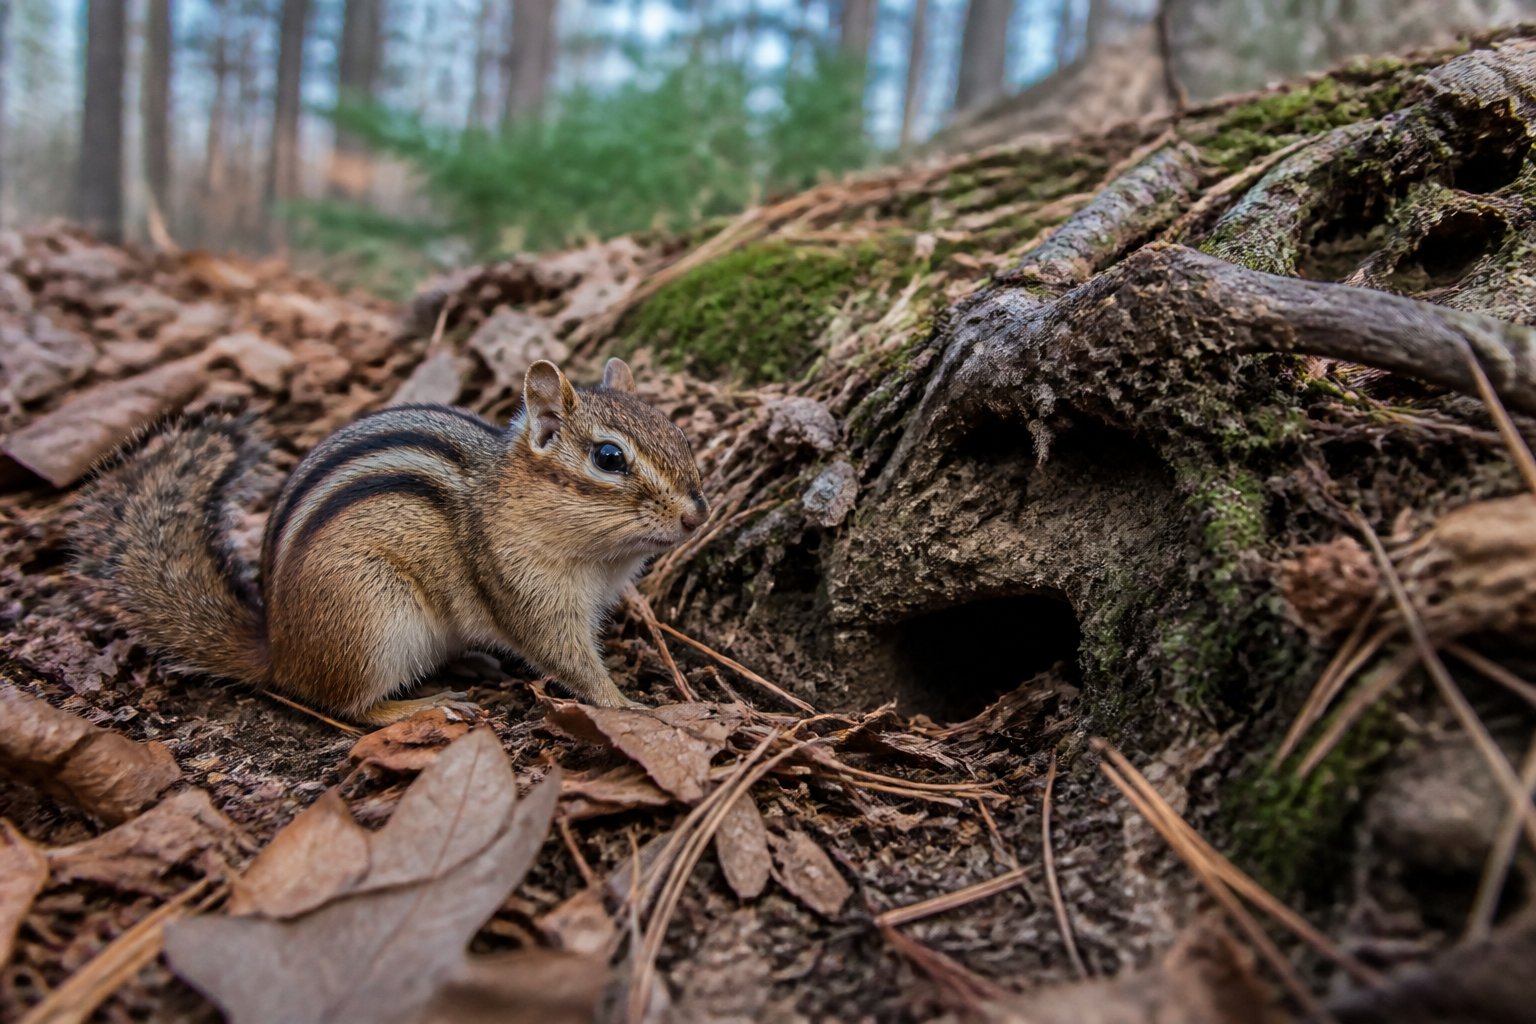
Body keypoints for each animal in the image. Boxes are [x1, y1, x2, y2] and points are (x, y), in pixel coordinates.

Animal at [70, 358, 709, 725]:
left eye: (679, 433)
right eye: (609, 458)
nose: (696, 516)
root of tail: (278, 649)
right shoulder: (524, 589)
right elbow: (566, 657)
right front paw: (629, 703)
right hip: (372, 619)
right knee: (347, 706)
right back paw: (421, 705)